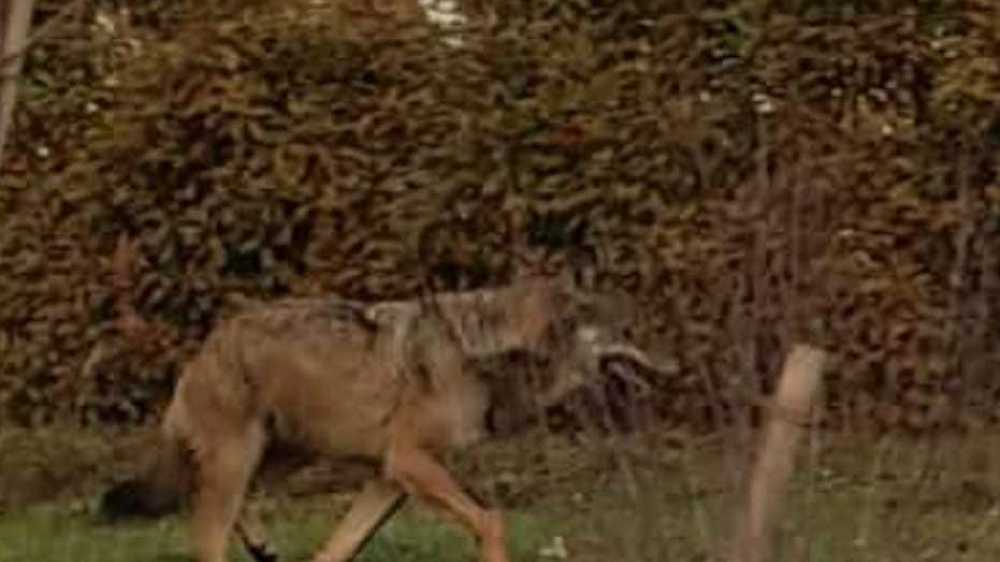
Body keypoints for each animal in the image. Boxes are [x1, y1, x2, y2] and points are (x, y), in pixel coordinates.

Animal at [100, 271, 673, 562]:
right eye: (630, 331)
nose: (677, 364)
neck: (481, 353)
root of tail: (208, 344)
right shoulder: (410, 462)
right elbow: (492, 521)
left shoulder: (390, 478)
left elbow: (338, 549)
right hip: (242, 459)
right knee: (206, 532)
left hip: (280, 456)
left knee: (227, 502)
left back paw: (263, 545)